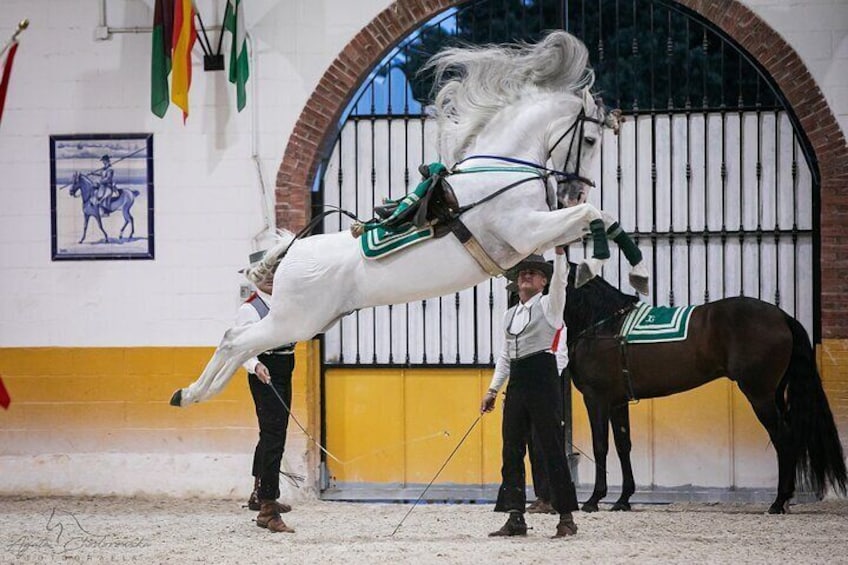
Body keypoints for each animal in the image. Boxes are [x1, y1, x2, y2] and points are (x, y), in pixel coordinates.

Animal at [171, 29, 636, 406]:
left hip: (301, 323)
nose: (575, 189)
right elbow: (595, 214)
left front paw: (605, 267)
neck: (501, 167)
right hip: (295, 321)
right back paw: (193, 394)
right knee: (235, 340)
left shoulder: (532, 238)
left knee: (242, 345)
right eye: (590, 140)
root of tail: (290, 253)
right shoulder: (523, 230)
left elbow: (594, 223)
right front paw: (613, 265)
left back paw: (195, 393)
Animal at [568, 266, 844, 512]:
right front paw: (623, 500)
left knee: (783, 438)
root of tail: (782, 317)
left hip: (760, 395)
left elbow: (600, 446)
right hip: (773, 394)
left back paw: (778, 502)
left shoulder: (596, 399)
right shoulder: (617, 402)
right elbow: (623, 445)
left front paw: (593, 500)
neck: (604, 326)